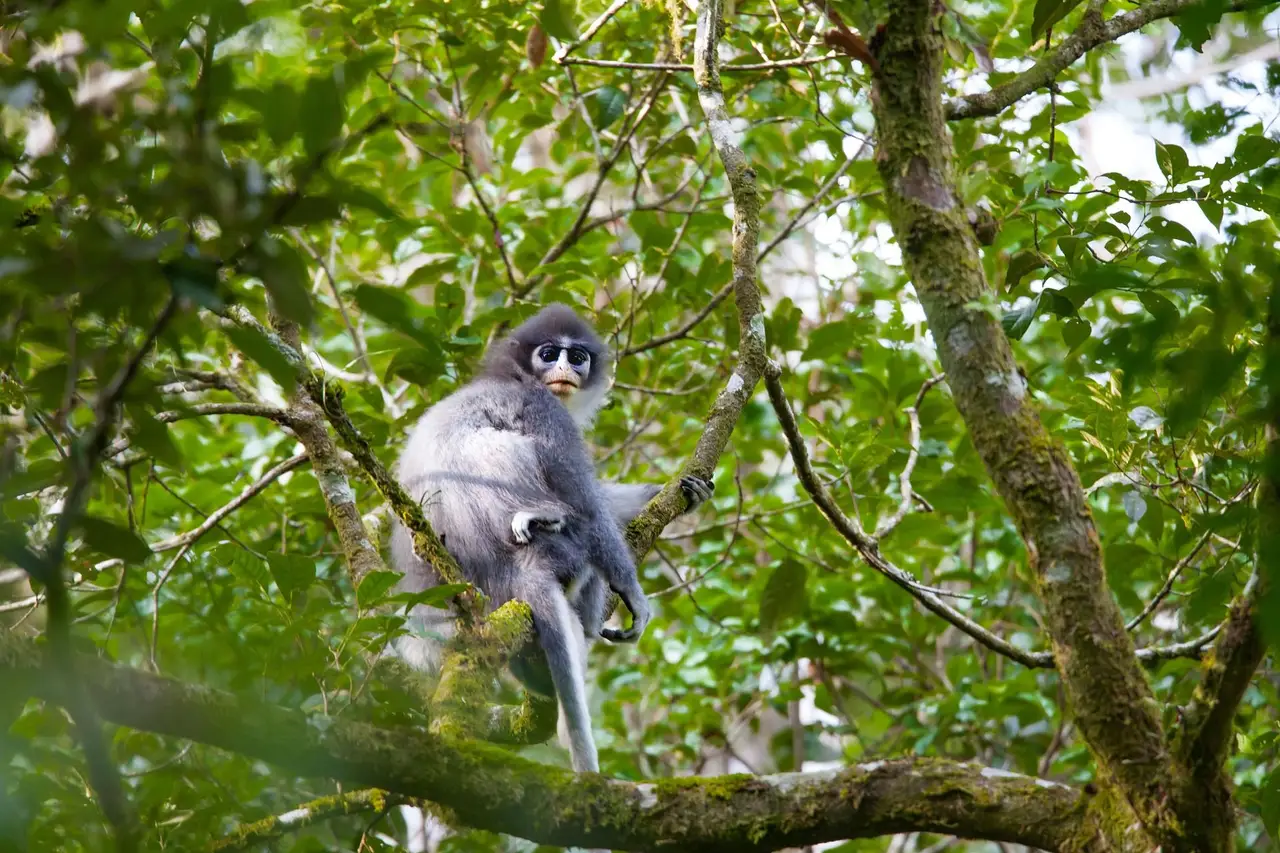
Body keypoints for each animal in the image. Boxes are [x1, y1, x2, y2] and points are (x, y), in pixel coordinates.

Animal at [388, 303, 713, 773]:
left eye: (577, 356)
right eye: (548, 353)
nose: (564, 368)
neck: (513, 377)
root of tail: (511, 569)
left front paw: (677, 492)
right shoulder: (544, 410)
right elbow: (588, 506)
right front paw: (635, 596)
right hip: (563, 553)